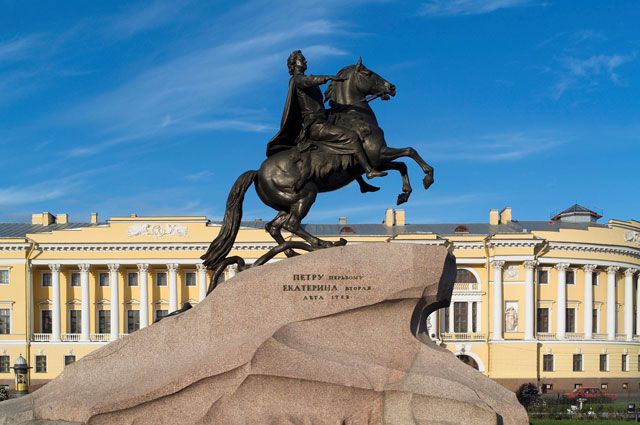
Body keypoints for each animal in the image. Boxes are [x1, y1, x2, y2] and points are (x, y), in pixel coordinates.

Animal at [200, 58, 436, 274]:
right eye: (368, 73)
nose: (391, 87)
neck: (356, 117)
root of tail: (258, 172)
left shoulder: (378, 158)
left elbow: (403, 165)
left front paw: (404, 194)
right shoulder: (377, 155)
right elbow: (409, 152)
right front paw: (427, 177)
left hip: (287, 203)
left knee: (273, 227)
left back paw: (293, 252)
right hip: (306, 194)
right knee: (291, 225)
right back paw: (323, 243)